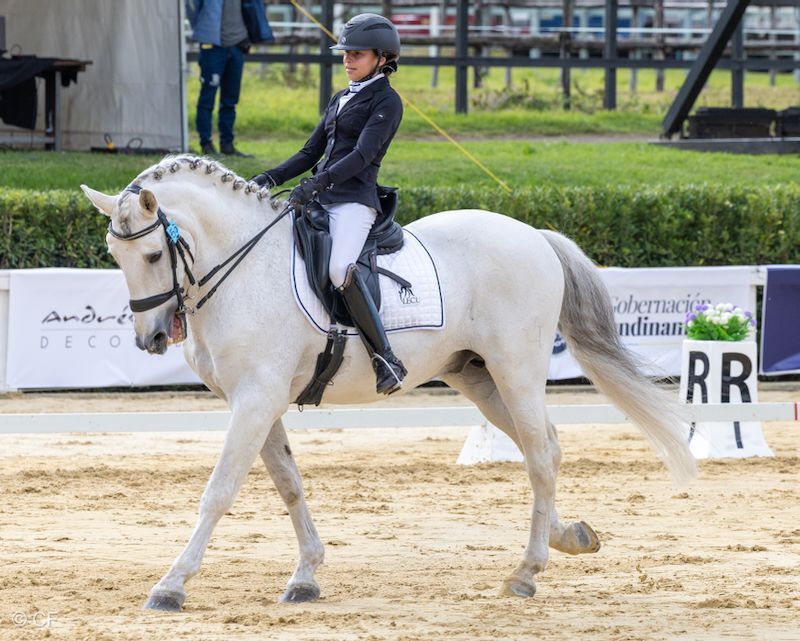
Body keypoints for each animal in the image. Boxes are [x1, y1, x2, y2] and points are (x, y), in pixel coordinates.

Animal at [81, 154, 696, 611]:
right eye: (114, 254)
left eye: (153, 254)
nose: (152, 338)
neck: (243, 268)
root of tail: (534, 236)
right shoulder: (259, 401)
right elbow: (289, 485)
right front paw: (306, 577)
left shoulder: (255, 399)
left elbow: (219, 491)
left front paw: (170, 585)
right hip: (477, 376)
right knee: (542, 447)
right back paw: (569, 538)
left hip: (516, 368)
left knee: (541, 454)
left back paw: (526, 573)